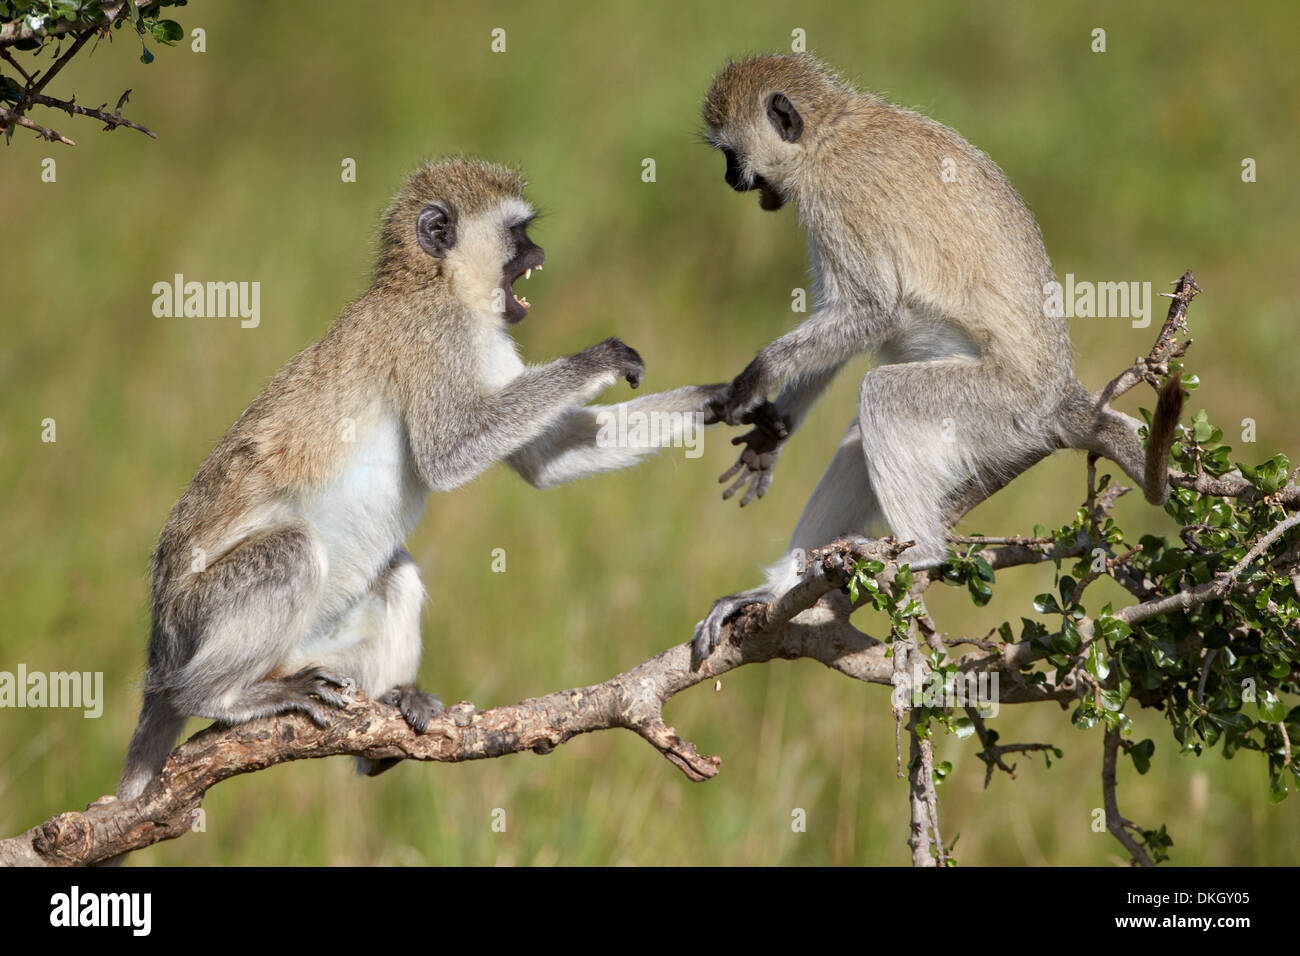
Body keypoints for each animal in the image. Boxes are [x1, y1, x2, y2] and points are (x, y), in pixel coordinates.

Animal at [696, 54, 1185, 658]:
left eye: (730, 155)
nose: (727, 179)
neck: (829, 131)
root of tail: (1059, 401)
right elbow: (841, 322)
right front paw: (771, 434)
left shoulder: (839, 199)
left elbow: (870, 309)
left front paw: (754, 379)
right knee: (861, 436)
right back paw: (775, 590)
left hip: (998, 409)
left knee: (881, 395)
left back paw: (921, 552)